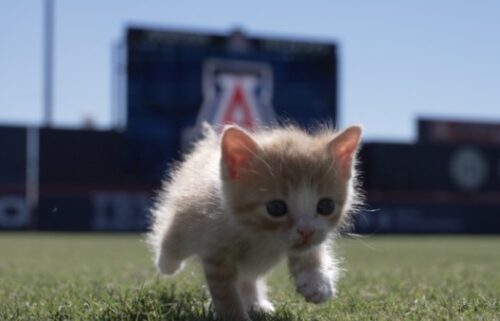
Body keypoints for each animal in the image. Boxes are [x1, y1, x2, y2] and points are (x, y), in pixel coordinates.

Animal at [146, 123, 362, 320]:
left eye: (326, 206)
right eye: (276, 208)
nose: (306, 231)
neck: (261, 236)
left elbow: (310, 250)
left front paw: (317, 282)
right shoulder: (216, 249)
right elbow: (225, 292)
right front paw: (234, 316)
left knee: (246, 276)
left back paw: (255, 302)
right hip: (185, 219)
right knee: (174, 239)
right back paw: (165, 262)